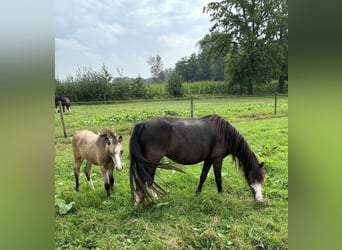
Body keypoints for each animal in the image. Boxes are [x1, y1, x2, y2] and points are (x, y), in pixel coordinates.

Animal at [130, 114, 266, 206]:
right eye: (251, 178)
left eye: (262, 179)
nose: (260, 200)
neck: (224, 133)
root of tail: (142, 124)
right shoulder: (217, 159)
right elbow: (218, 178)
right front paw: (221, 195)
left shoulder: (209, 159)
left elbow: (203, 176)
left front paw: (197, 194)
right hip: (151, 161)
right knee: (143, 179)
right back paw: (145, 201)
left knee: (145, 179)